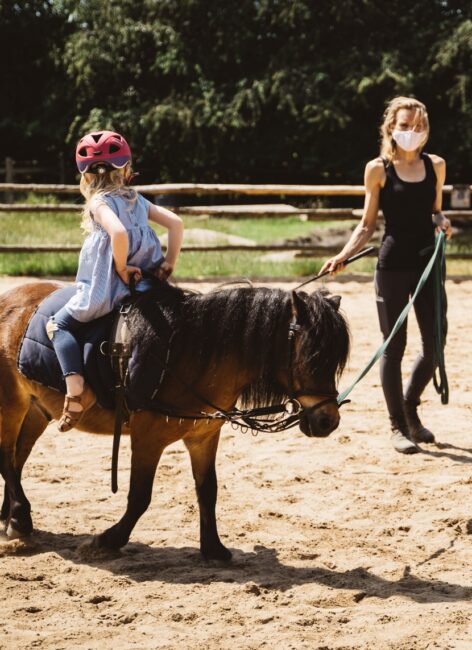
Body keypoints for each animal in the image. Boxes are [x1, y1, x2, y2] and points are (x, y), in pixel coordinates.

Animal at [0, 280, 346, 560]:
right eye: (312, 357)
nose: (328, 420)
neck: (189, 355)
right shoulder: (147, 439)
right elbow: (140, 497)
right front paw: (107, 540)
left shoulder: (204, 437)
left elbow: (208, 491)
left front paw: (213, 548)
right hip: (11, 405)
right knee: (7, 458)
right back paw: (19, 517)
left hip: (36, 411)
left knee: (16, 460)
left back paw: (9, 518)